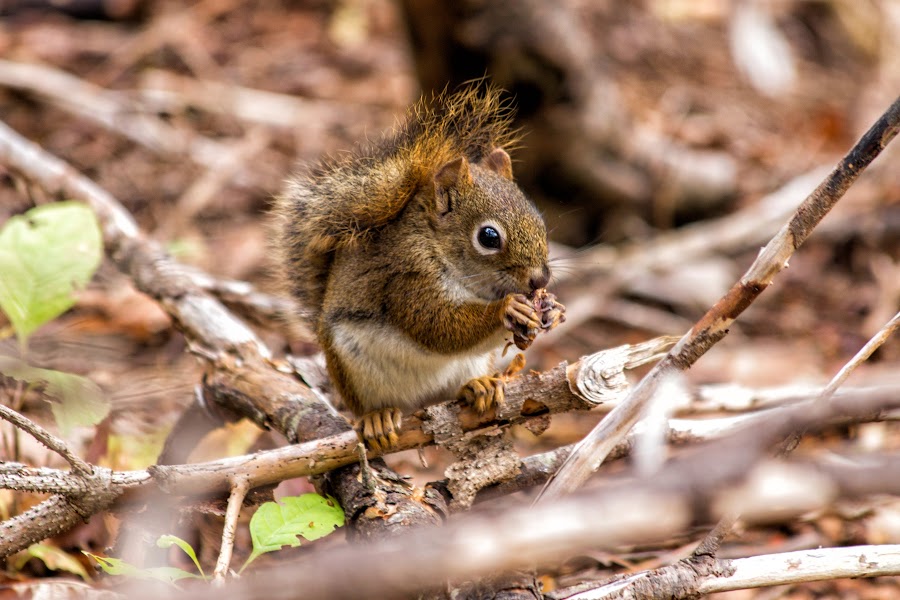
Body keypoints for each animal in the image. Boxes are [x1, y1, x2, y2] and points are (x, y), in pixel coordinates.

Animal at [278, 83, 568, 450]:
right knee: (370, 406)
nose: (540, 279)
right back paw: (378, 418)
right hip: (354, 370)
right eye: (488, 237)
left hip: (469, 364)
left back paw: (479, 386)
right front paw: (509, 308)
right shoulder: (406, 277)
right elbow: (437, 325)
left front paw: (553, 310)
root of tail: (422, 399)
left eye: (538, 219)